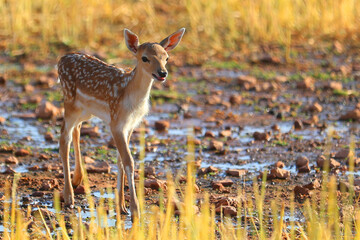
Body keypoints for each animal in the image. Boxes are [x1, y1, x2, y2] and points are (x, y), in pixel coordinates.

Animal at [57, 27, 186, 220]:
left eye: (167, 57)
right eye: (144, 58)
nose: (162, 73)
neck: (131, 99)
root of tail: (60, 60)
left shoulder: (130, 125)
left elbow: (119, 160)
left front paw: (121, 206)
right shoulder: (116, 123)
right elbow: (128, 161)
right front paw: (135, 210)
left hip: (86, 110)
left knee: (76, 130)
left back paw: (77, 179)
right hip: (70, 102)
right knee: (64, 137)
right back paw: (69, 197)